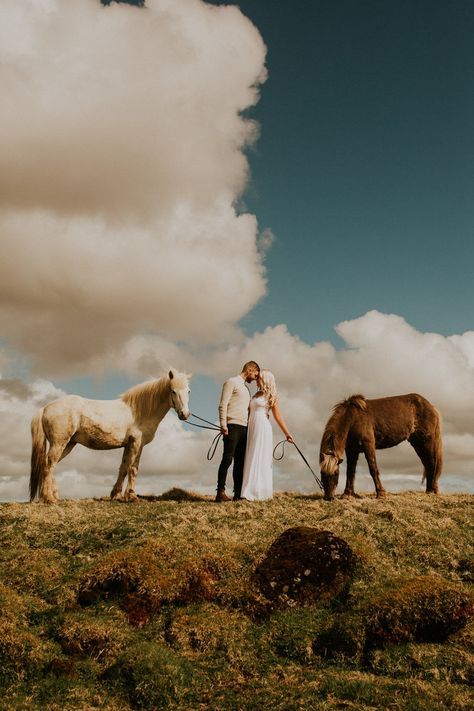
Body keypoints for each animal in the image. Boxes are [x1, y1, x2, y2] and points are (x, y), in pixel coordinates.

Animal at [29, 370, 191, 504]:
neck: (139, 411)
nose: (185, 414)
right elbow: (133, 468)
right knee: (49, 464)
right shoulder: (137, 443)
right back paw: (48, 498)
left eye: (188, 391)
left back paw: (54, 496)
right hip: (59, 443)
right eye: (173, 391)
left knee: (50, 464)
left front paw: (116, 494)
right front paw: (131, 496)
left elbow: (124, 467)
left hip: (68, 444)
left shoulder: (128, 445)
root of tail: (45, 408)